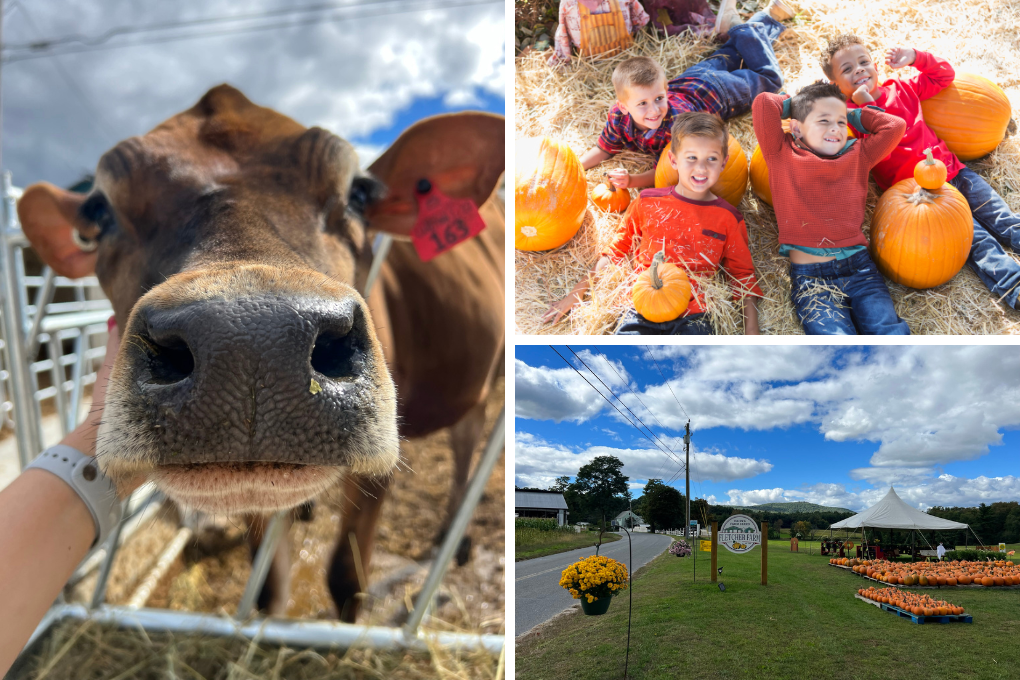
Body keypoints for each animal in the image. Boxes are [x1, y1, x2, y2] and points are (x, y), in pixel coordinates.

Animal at [17, 85, 503, 623]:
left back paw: (453, 541)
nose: (249, 346)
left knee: (468, 438)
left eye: (359, 193)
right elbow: (267, 588)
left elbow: (346, 580)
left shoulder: (380, 467)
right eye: (100, 210)